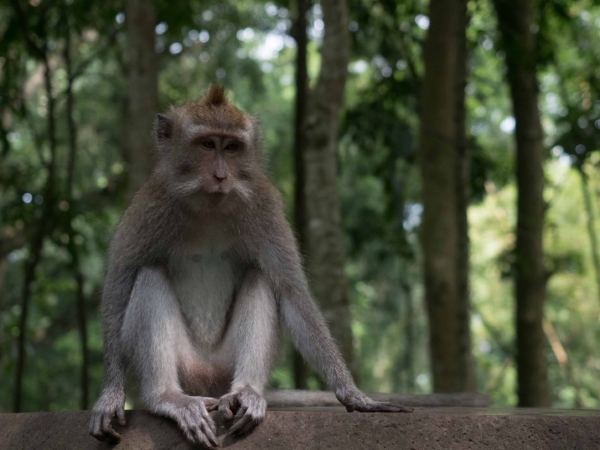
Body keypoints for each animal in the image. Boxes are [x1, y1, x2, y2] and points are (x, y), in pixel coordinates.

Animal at [89, 83, 410, 446]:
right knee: (149, 275)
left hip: (225, 367)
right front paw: (111, 395)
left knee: (261, 278)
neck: (210, 204)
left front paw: (354, 395)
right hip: (189, 369)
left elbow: (291, 291)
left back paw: (246, 393)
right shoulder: (150, 204)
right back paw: (167, 397)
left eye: (231, 147)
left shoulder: (264, 204)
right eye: (207, 144)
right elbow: (119, 284)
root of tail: (211, 384)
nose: (220, 174)